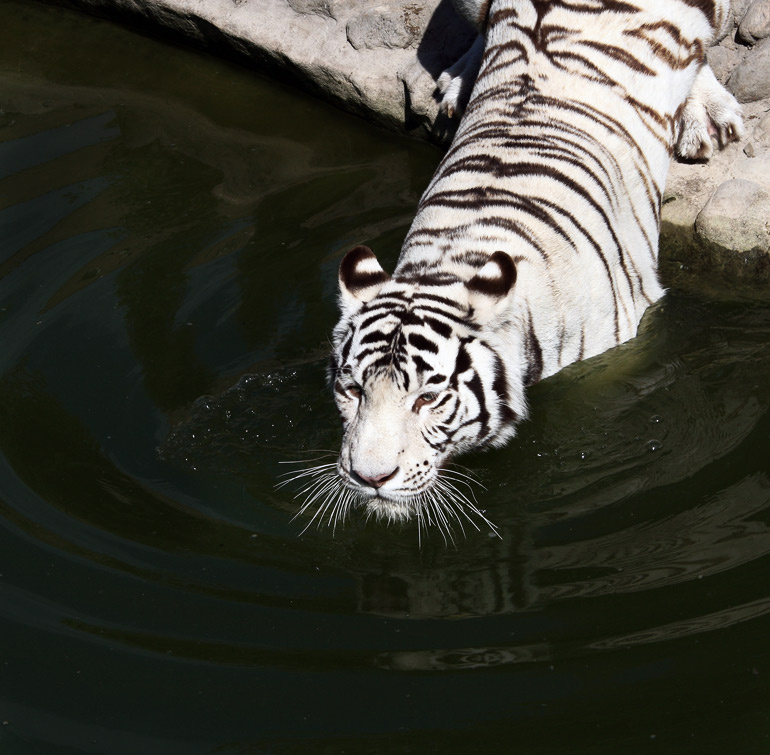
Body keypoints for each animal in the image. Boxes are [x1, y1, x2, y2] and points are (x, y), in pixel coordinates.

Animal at [294, 0, 744, 536]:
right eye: (353, 390)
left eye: (427, 399)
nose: (369, 478)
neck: (449, 262)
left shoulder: (617, 354)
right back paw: (456, 85)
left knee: (702, 54)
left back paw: (707, 119)